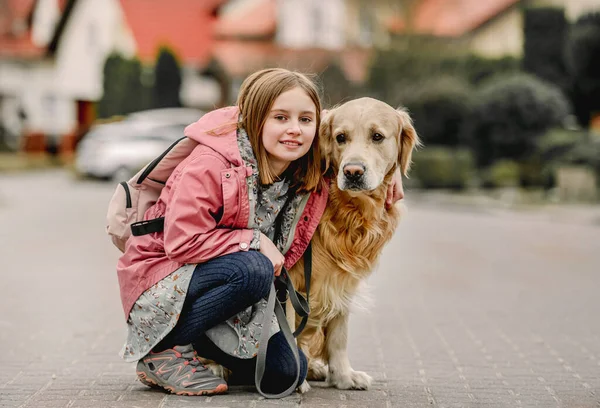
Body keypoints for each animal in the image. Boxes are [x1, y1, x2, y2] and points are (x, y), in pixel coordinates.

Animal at [288, 97, 420, 394]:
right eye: (341, 137)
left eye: (377, 136)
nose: (353, 171)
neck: (350, 211)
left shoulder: (341, 281)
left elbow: (339, 335)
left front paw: (344, 377)